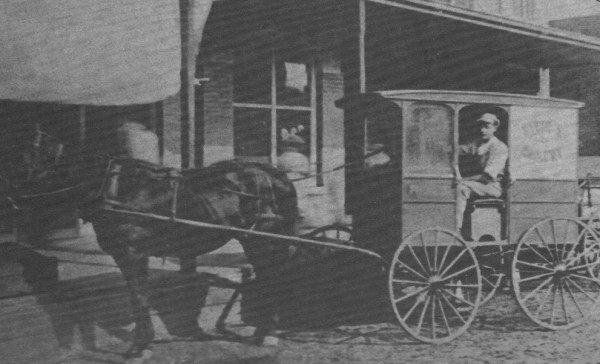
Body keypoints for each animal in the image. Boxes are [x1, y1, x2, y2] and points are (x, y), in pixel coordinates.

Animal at [5, 135, 300, 356]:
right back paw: (263, 331)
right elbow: (138, 296)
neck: (115, 188)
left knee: (275, 278)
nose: (9, 202)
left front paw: (139, 346)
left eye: (25, 165)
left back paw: (267, 333)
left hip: (263, 238)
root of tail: (278, 176)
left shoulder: (132, 253)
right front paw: (141, 340)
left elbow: (139, 296)